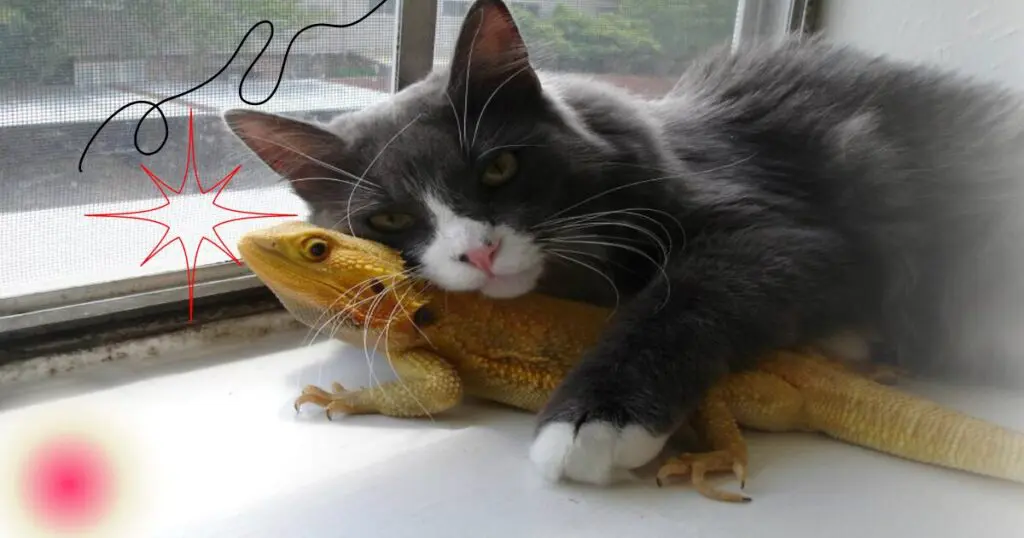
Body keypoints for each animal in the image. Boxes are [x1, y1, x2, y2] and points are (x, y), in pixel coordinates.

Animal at [228, 0, 1024, 485]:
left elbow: (680, 297)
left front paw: (594, 419)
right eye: (388, 220)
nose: (478, 253)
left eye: (498, 168)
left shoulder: (781, 230)